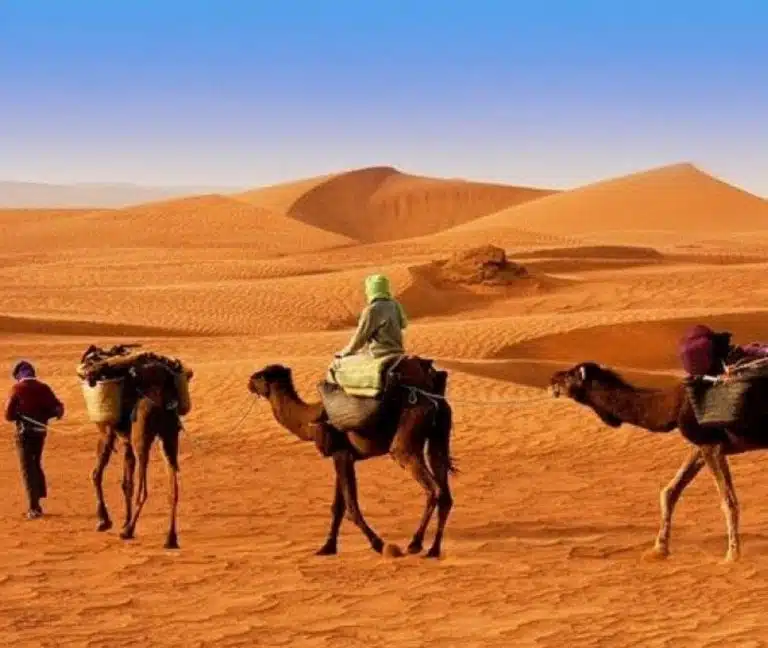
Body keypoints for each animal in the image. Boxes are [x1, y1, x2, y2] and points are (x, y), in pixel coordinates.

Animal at [79, 347, 193, 549]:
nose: (86, 371)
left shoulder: (106, 432)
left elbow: (96, 474)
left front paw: (104, 520)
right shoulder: (126, 441)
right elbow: (127, 483)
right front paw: (123, 520)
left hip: (142, 436)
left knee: (144, 488)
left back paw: (128, 531)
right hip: (169, 436)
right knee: (173, 486)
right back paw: (170, 538)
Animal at [247, 357, 456, 558]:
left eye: (260, 376)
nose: (249, 382)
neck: (308, 421)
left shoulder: (342, 454)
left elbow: (351, 506)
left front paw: (378, 544)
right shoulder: (342, 456)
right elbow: (338, 506)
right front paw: (327, 547)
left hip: (407, 434)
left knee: (432, 487)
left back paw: (415, 544)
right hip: (439, 435)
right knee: (445, 491)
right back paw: (433, 550)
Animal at [549, 360, 768, 562]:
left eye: (570, 375)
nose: (552, 380)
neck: (672, 406)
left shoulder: (710, 444)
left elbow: (728, 501)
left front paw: (732, 556)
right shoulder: (701, 446)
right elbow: (670, 492)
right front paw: (659, 549)